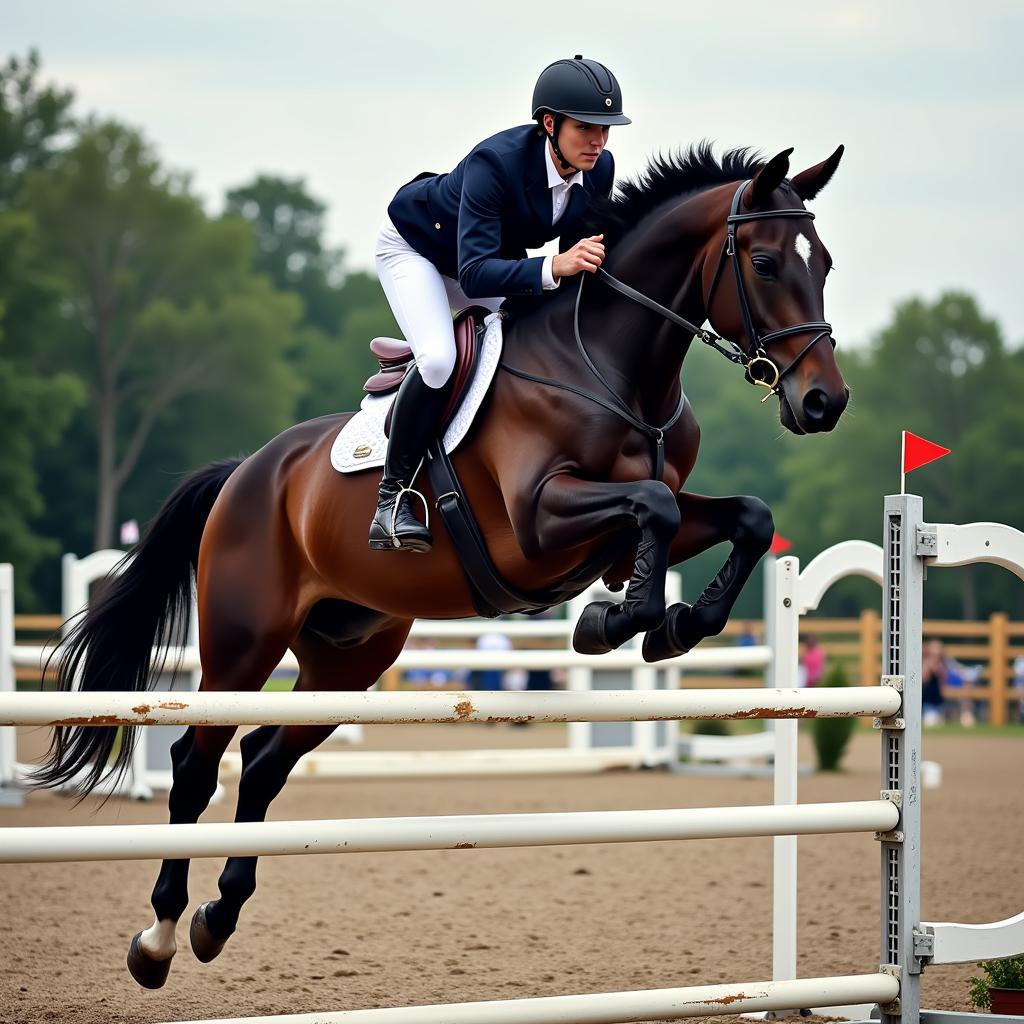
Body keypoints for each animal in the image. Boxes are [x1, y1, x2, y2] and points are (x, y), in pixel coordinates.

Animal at [36, 142, 843, 983]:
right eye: (764, 261)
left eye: (824, 262)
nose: (825, 403)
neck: (611, 368)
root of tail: (245, 472)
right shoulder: (539, 520)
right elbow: (653, 504)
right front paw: (612, 620)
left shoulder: (641, 522)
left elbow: (742, 516)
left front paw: (673, 623)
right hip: (242, 644)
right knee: (197, 765)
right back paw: (158, 938)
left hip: (348, 656)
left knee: (261, 762)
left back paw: (217, 917)